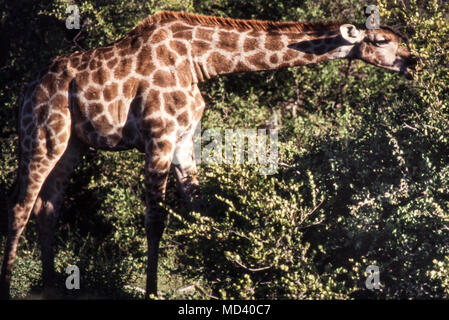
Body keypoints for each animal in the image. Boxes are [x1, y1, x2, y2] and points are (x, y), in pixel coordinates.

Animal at [0, 11, 416, 298]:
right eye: (382, 40)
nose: (415, 62)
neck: (198, 61)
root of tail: (26, 90)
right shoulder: (159, 136)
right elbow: (156, 220)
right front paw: (153, 290)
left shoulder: (184, 140)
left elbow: (200, 208)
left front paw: (218, 279)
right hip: (42, 134)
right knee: (20, 205)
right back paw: (9, 282)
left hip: (71, 143)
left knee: (48, 206)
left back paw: (50, 285)